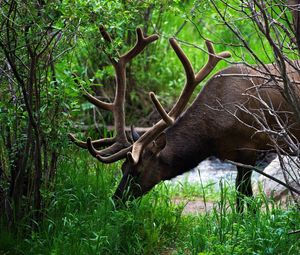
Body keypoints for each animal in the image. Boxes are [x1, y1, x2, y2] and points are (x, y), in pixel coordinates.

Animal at [69, 24, 300, 211]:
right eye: (122, 167)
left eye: (138, 171)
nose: (115, 201)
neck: (211, 136)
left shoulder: (249, 150)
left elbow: (245, 197)